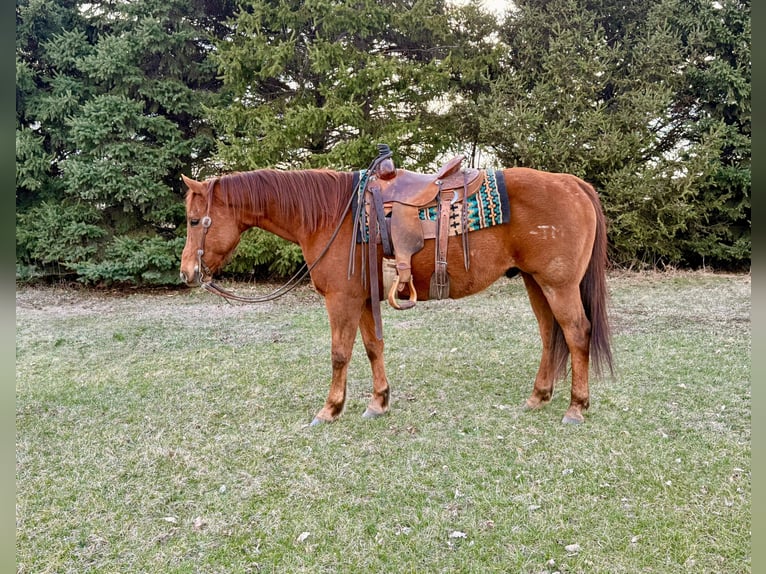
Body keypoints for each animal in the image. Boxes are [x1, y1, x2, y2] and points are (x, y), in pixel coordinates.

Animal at [179, 161, 613, 425]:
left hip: (558, 285)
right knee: (550, 335)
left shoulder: (341, 300)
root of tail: (573, 184)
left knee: (576, 334)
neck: (331, 216)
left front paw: (330, 408)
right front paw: (378, 401)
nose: (187, 272)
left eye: (195, 220)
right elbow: (373, 347)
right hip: (534, 282)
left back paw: (576, 407)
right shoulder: (363, 299)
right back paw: (539, 396)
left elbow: (340, 353)